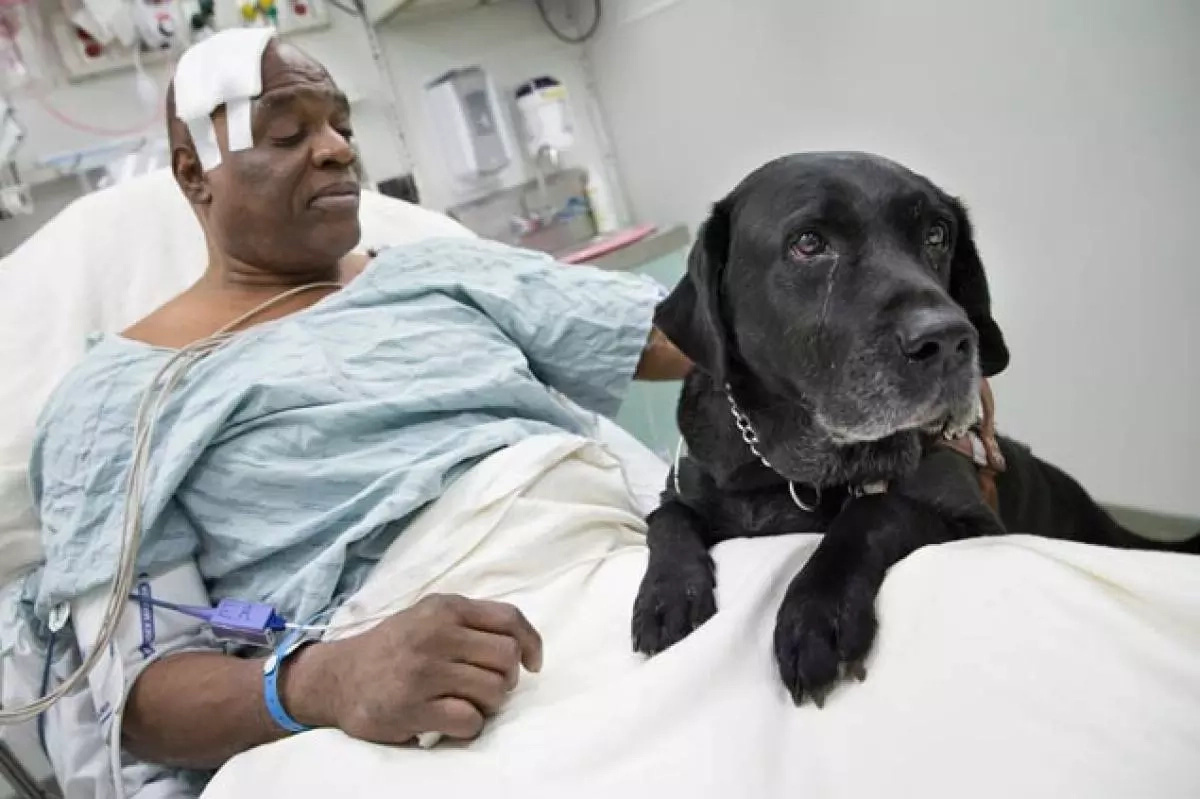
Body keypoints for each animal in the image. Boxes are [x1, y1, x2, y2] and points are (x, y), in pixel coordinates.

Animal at [633, 151, 1195, 705]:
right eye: (808, 243)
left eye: (937, 234)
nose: (949, 340)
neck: (788, 470)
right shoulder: (685, 490)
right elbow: (667, 519)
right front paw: (669, 594)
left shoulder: (975, 522)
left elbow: (874, 510)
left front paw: (818, 610)